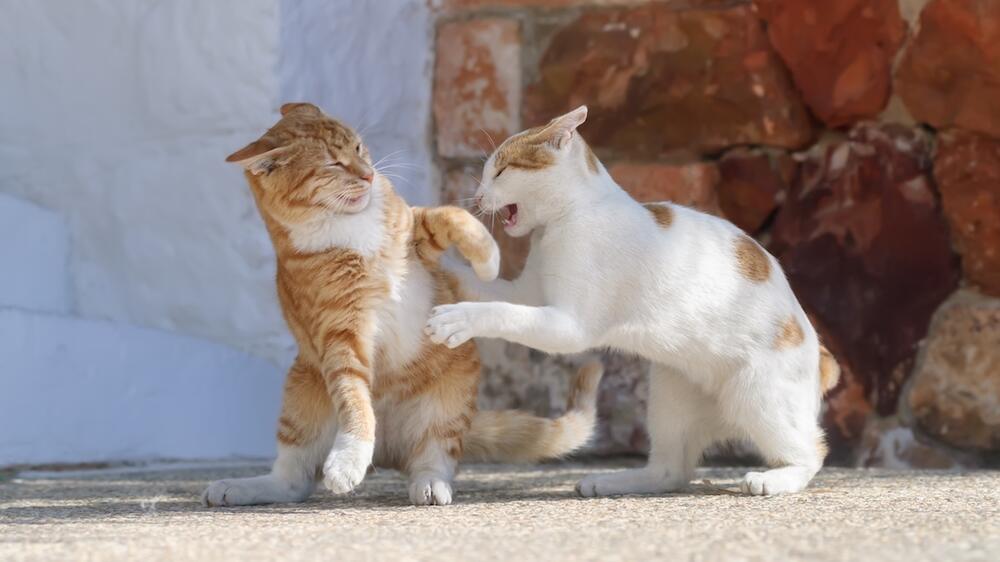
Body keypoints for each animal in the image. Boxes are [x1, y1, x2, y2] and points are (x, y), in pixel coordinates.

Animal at [199, 103, 596, 506]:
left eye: (358, 148)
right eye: (333, 164)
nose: (369, 174)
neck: (349, 226)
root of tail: (387, 449)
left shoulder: (414, 228)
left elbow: (453, 216)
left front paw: (488, 261)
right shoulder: (340, 334)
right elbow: (354, 399)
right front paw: (348, 460)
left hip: (447, 403)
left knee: (434, 456)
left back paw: (430, 484)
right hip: (300, 399)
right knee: (293, 479)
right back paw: (242, 486)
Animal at [426, 105, 840, 494]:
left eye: (500, 171)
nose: (478, 196)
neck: (563, 221)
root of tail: (820, 354)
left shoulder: (568, 325)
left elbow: (499, 312)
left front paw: (457, 319)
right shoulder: (527, 293)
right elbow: (486, 291)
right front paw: (434, 253)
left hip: (757, 396)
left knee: (813, 452)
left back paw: (775, 479)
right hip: (669, 396)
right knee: (671, 471)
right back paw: (611, 482)